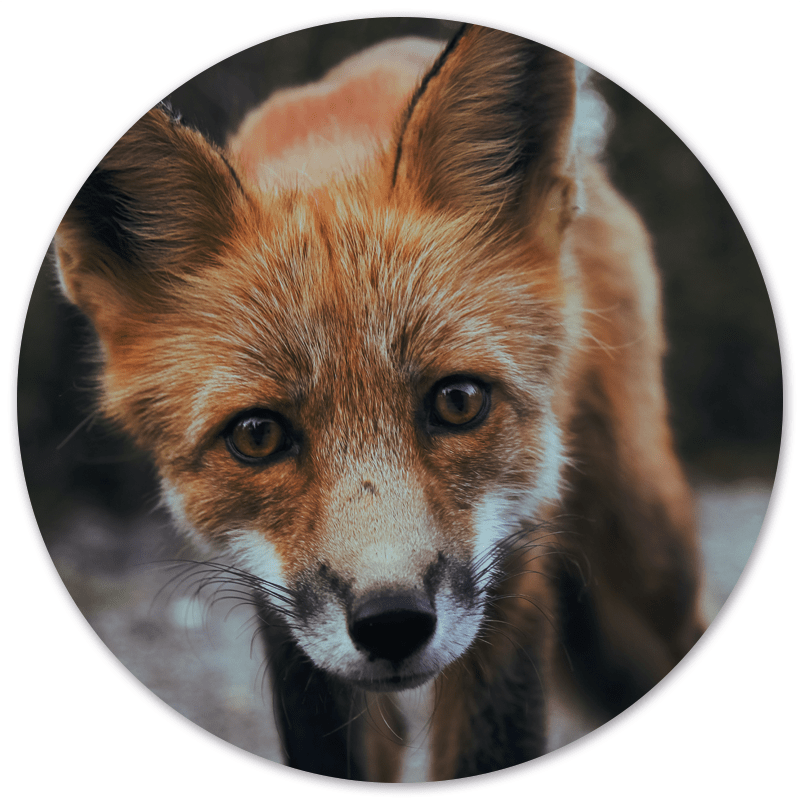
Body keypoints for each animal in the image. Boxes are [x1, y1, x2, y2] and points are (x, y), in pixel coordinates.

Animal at [53, 24, 706, 781]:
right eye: (256, 435)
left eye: (458, 401)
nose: (391, 622)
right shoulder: (285, 620)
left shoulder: (514, 570)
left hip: (643, 572)